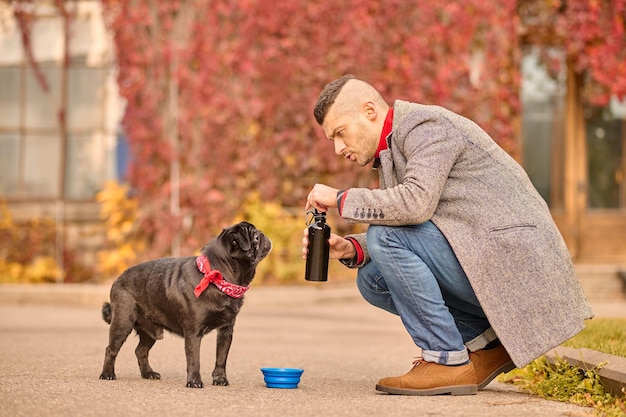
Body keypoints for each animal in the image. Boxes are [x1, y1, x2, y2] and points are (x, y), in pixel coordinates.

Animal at [98, 221, 270, 386]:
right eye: (255, 237)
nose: (262, 234)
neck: (218, 277)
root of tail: (118, 279)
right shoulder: (193, 333)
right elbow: (194, 359)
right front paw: (194, 381)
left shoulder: (226, 330)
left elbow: (221, 358)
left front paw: (220, 379)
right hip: (122, 323)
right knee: (110, 350)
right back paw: (107, 374)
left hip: (150, 331)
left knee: (141, 351)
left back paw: (148, 373)